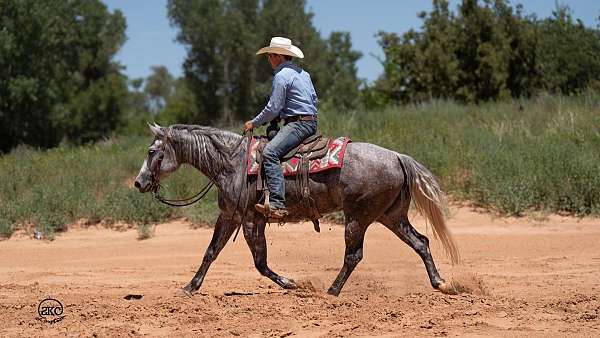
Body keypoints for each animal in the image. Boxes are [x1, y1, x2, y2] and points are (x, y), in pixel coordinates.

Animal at [135, 123, 460, 296]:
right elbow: (211, 252)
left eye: (151, 152)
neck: (231, 162)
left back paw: (332, 291)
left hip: (358, 218)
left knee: (353, 255)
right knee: (421, 242)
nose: (139, 182)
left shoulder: (250, 220)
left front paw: (290, 283)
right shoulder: (230, 217)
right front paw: (190, 287)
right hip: (390, 215)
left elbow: (260, 263)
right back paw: (440, 283)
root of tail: (396, 156)